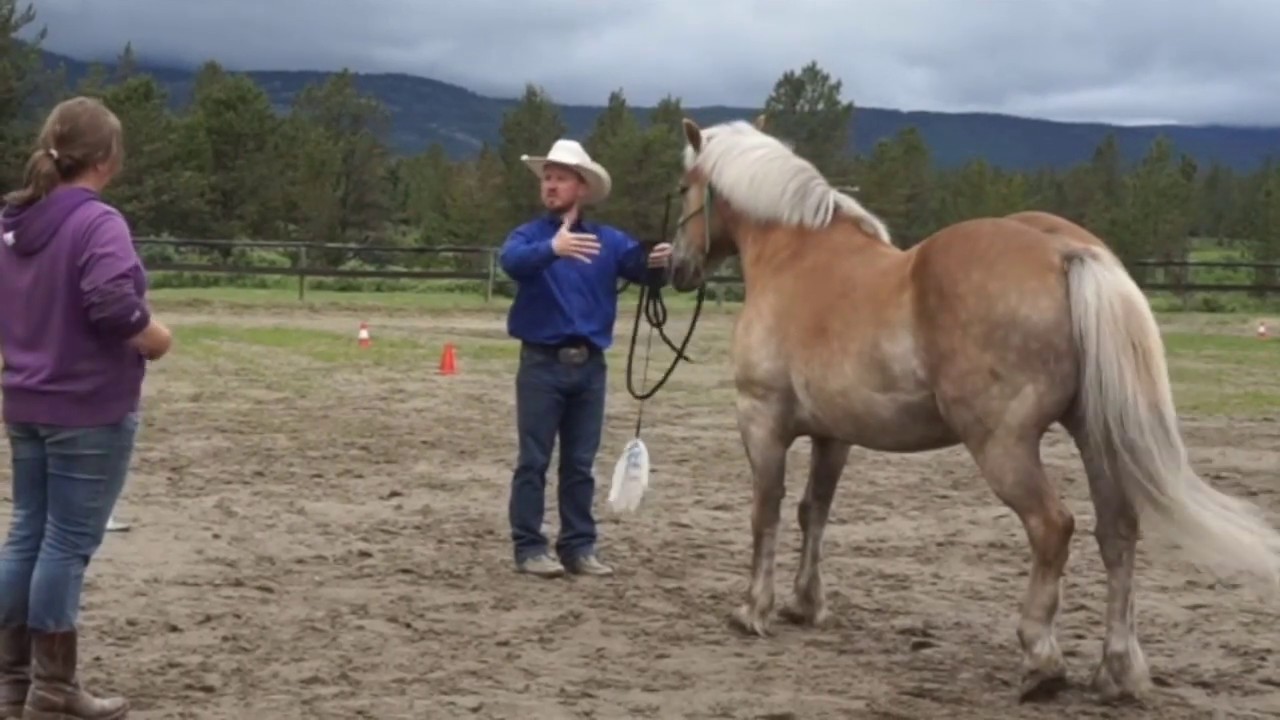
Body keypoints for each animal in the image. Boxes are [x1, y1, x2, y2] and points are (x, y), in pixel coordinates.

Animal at [666, 114, 1280, 704]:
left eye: (681, 186)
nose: (677, 266)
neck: (796, 256)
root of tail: (1064, 252)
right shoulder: (833, 435)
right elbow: (812, 511)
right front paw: (804, 604)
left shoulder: (761, 419)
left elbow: (765, 511)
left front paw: (753, 609)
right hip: (1093, 435)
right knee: (1117, 532)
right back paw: (1117, 671)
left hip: (1001, 445)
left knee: (1052, 527)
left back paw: (1041, 660)